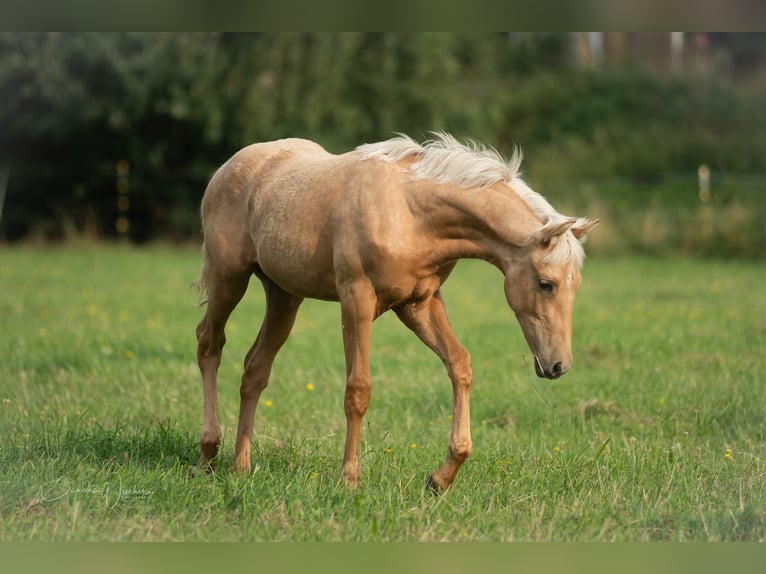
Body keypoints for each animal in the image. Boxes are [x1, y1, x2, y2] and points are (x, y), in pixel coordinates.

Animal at [194, 133, 600, 492]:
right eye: (546, 283)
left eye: (577, 283)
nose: (558, 365)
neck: (412, 213)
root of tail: (227, 168)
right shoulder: (356, 299)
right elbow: (358, 390)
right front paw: (349, 480)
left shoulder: (419, 304)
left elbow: (460, 364)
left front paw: (442, 477)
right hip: (229, 279)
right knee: (209, 344)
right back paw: (208, 454)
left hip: (284, 296)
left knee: (255, 369)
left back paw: (241, 466)